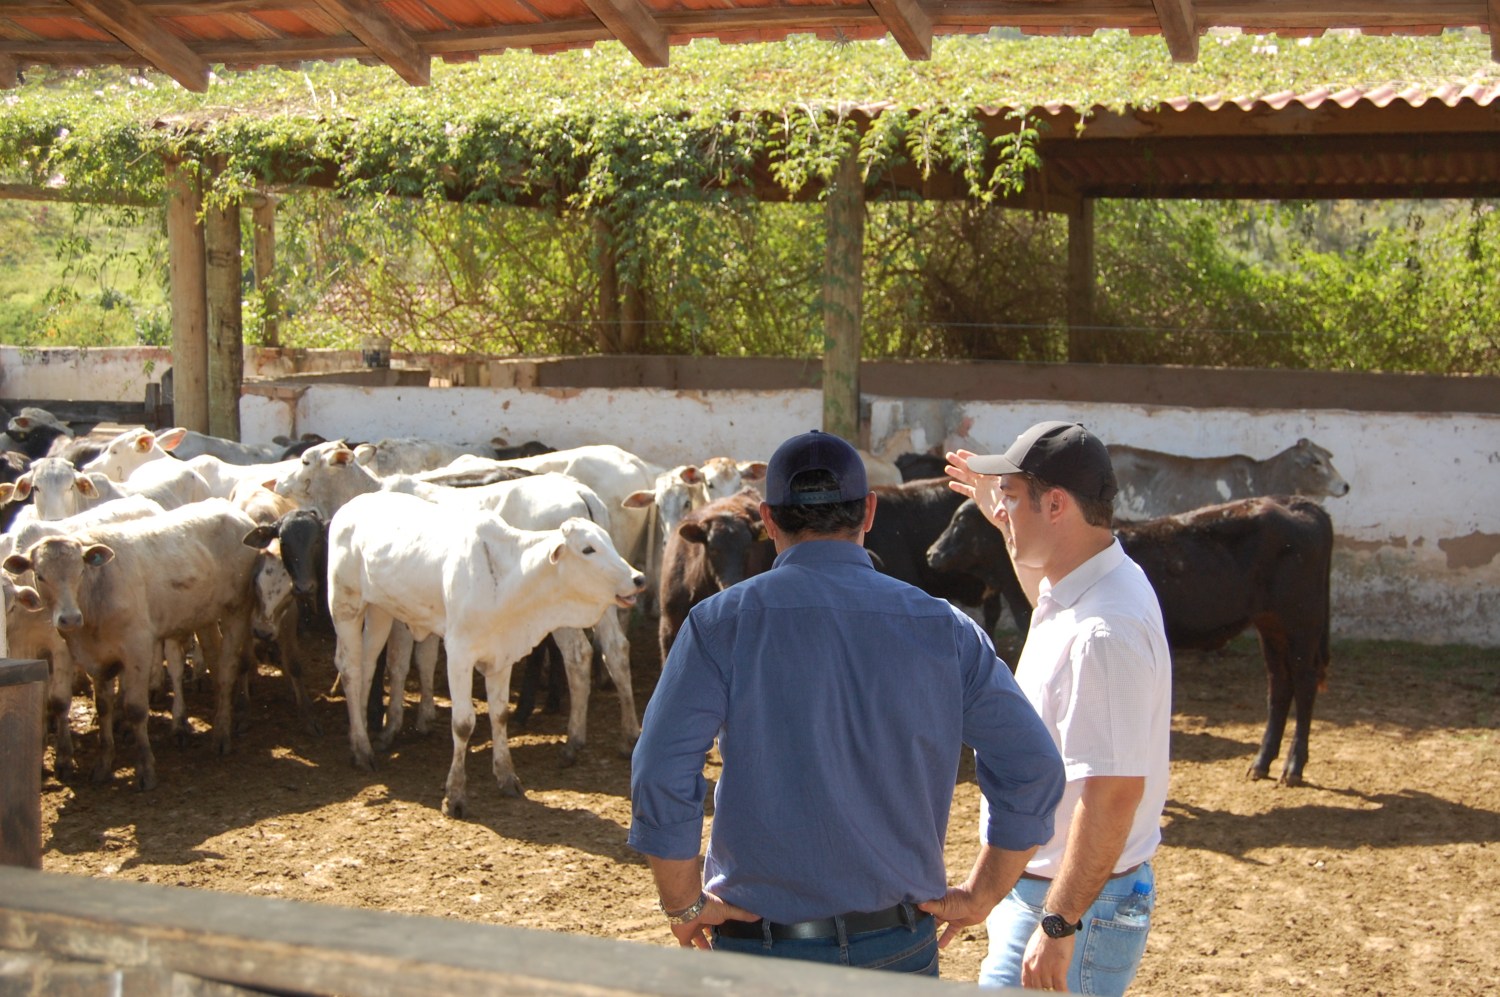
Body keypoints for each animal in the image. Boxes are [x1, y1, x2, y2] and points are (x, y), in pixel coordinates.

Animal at [924, 491, 1338, 785]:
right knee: (1278, 685)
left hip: (1300, 622)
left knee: (1302, 684)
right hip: (1271, 626)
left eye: (962, 522)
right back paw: (1262, 762)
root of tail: (1297, 502)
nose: (931, 553)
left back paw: (1293, 767)